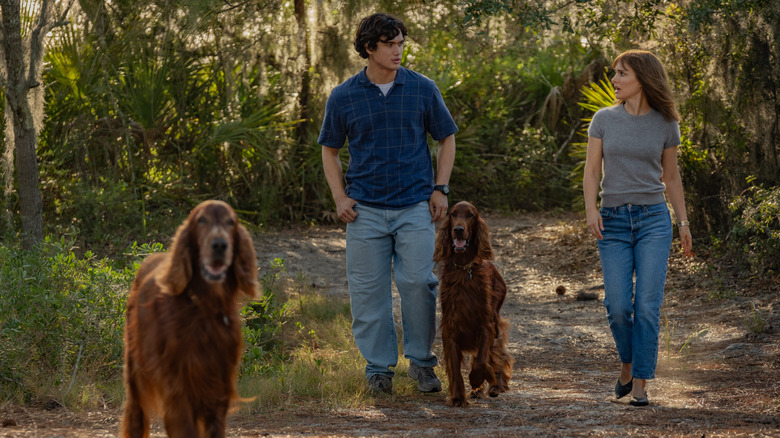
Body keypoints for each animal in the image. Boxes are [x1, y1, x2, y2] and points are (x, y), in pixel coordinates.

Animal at [120, 200, 258, 436]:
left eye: (231, 222)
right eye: (201, 220)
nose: (219, 245)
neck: (204, 306)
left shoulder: (217, 384)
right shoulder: (177, 385)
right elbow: (184, 427)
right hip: (135, 369)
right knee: (135, 414)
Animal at [432, 202, 512, 408]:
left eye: (470, 215)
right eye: (452, 214)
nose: (458, 230)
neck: (463, 269)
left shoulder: (486, 325)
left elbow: (481, 362)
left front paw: (479, 379)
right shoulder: (450, 329)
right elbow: (455, 368)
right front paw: (459, 397)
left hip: (495, 323)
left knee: (497, 354)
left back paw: (495, 385)